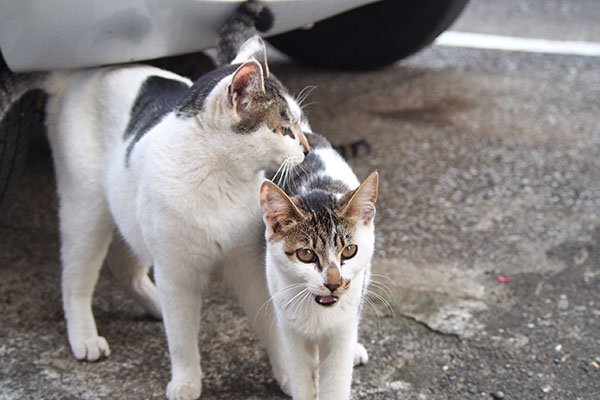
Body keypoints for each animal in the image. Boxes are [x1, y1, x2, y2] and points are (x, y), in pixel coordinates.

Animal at [260, 132, 378, 400]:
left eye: (349, 250)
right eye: (306, 254)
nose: (334, 283)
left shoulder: (342, 329)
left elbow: (335, 384)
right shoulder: (290, 328)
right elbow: (301, 378)